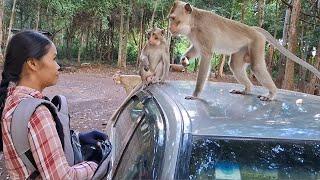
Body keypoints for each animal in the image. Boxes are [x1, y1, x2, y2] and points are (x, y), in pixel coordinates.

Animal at [169, 0, 318, 100]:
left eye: (173, 19)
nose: (170, 28)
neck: (194, 23)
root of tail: (253, 29)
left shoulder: (204, 32)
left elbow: (206, 55)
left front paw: (195, 95)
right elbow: (196, 49)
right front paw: (184, 59)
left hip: (256, 43)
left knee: (257, 67)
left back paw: (272, 94)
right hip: (242, 48)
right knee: (235, 65)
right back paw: (247, 89)